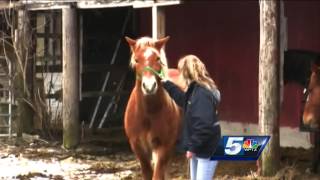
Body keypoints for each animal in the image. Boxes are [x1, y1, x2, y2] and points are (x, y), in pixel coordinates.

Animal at [124, 35, 181, 179]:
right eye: (136, 60)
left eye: (158, 58)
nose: (149, 87)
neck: (148, 113)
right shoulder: (138, 147)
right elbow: (148, 172)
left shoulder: (164, 146)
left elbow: (157, 174)